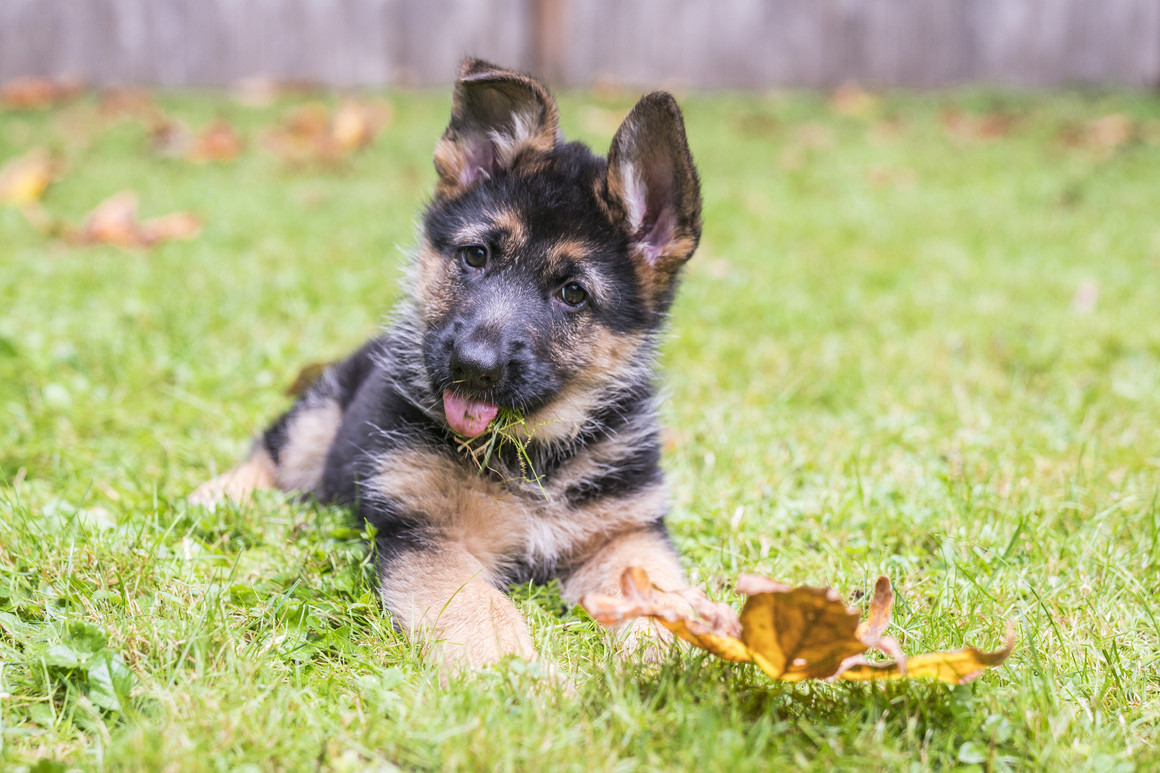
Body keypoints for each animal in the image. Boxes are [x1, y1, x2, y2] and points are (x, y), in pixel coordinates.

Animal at [192, 58, 696, 668]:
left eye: (573, 293)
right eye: (475, 256)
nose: (472, 366)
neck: (531, 456)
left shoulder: (626, 532)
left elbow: (659, 594)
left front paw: (677, 655)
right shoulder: (426, 534)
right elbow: (480, 612)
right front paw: (522, 676)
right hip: (320, 414)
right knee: (274, 452)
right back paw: (217, 496)